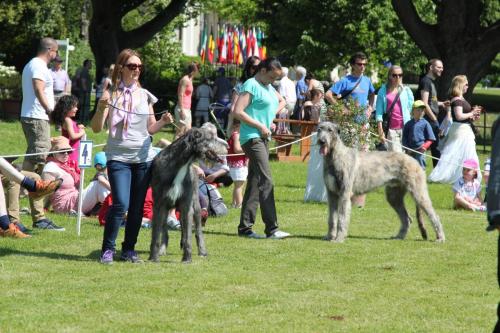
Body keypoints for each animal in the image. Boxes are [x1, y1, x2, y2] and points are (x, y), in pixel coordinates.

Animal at [148, 124, 227, 262]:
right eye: (211, 137)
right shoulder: (159, 204)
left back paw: (202, 251)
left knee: (197, 231)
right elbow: (156, 234)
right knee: (165, 230)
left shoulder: (186, 204)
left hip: (196, 205)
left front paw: (187, 258)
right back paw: (162, 249)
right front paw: (153, 257)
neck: (181, 165)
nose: (227, 145)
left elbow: (187, 236)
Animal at [316, 120, 446, 243]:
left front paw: (339, 238)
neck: (335, 155)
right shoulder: (332, 194)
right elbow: (331, 218)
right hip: (394, 196)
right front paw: (329, 236)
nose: (321, 141)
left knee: (434, 215)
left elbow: (342, 218)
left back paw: (440, 237)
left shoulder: (344, 193)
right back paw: (399, 236)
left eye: (330, 130)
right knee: (407, 218)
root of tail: (414, 161)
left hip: (418, 193)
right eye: (319, 129)